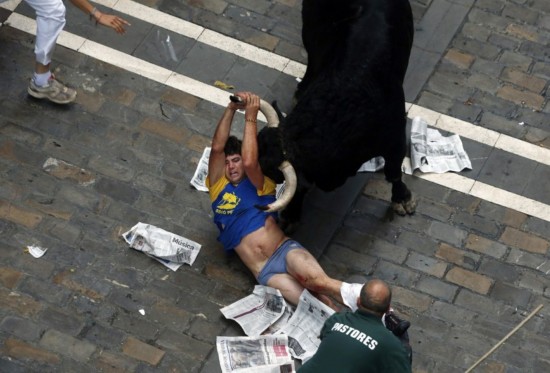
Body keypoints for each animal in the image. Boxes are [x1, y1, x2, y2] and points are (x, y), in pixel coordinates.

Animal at [258, 0, 418, 225]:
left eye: (272, 175)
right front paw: (290, 216)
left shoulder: (395, 139)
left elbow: (393, 171)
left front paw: (402, 199)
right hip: (310, 31)